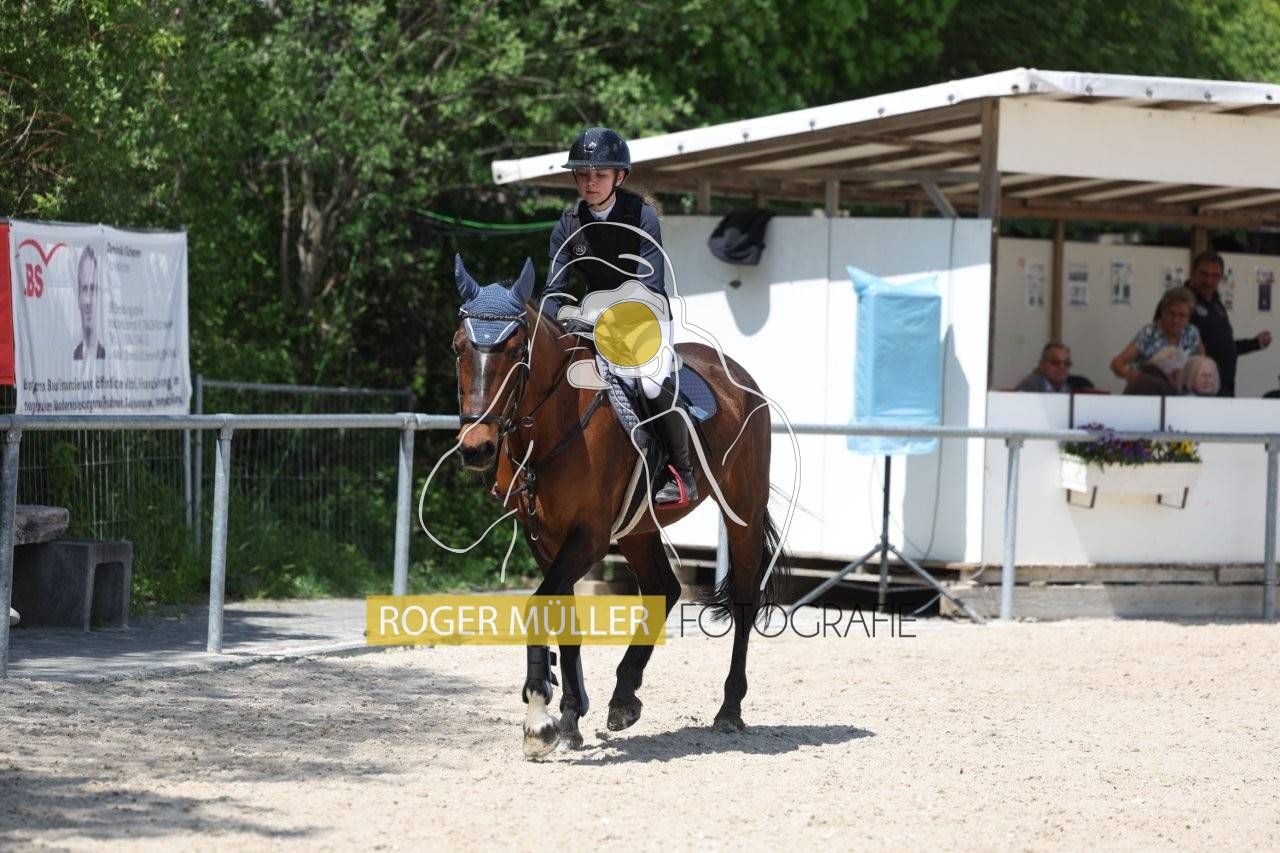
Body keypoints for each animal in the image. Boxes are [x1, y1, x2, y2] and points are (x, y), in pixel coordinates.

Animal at [449, 254, 788, 759]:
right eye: (457, 349)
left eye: (515, 352)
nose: (476, 448)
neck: (554, 424)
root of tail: (739, 376)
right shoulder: (543, 538)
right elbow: (563, 617)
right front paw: (570, 718)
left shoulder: (588, 538)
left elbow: (539, 605)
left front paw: (538, 718)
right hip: (638, 529)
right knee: (664, 587)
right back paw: (624, 696)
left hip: (741, 514)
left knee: (743, 603)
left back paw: (729, 710)